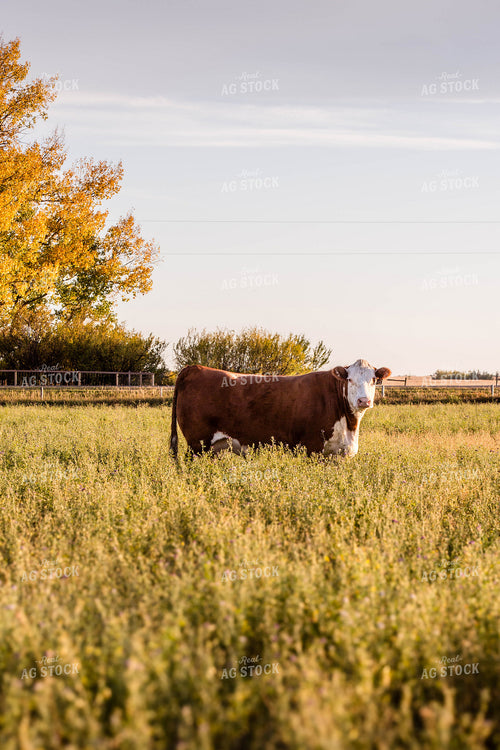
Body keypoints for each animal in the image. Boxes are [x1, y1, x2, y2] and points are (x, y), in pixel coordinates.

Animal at [169, 359, 391, 459]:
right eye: (350, 380)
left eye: (374, 380)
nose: (363, 401)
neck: (349, 425)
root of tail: (195, 368)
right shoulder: (312, 448)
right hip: (197, 444)